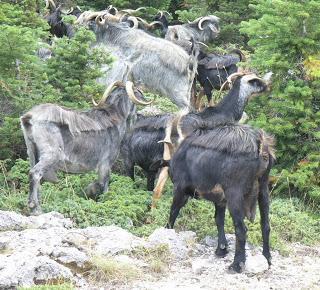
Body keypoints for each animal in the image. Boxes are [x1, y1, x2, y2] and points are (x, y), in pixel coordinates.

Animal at [21, 80, 150, 214]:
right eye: (137, 91)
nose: (145, 98)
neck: (114, 117)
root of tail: (29, 117)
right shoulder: (105, 164)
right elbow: (104, 184)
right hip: (51, 154)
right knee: (35, 173)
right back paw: (35, 208)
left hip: (31, 151)